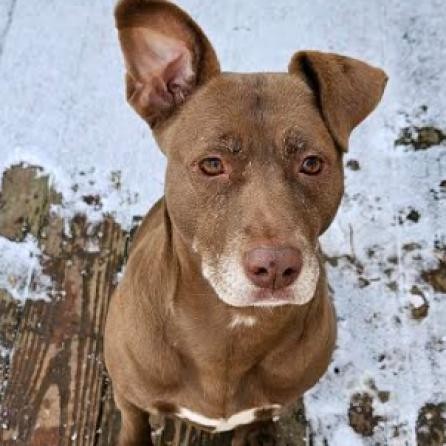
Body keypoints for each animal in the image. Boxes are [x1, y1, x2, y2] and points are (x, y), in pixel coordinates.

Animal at [103, 1, 386, 444]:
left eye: (311, 163)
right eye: (212, 164)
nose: (275, 267)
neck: (232, 331)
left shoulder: (266, 413)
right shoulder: (130, 400)